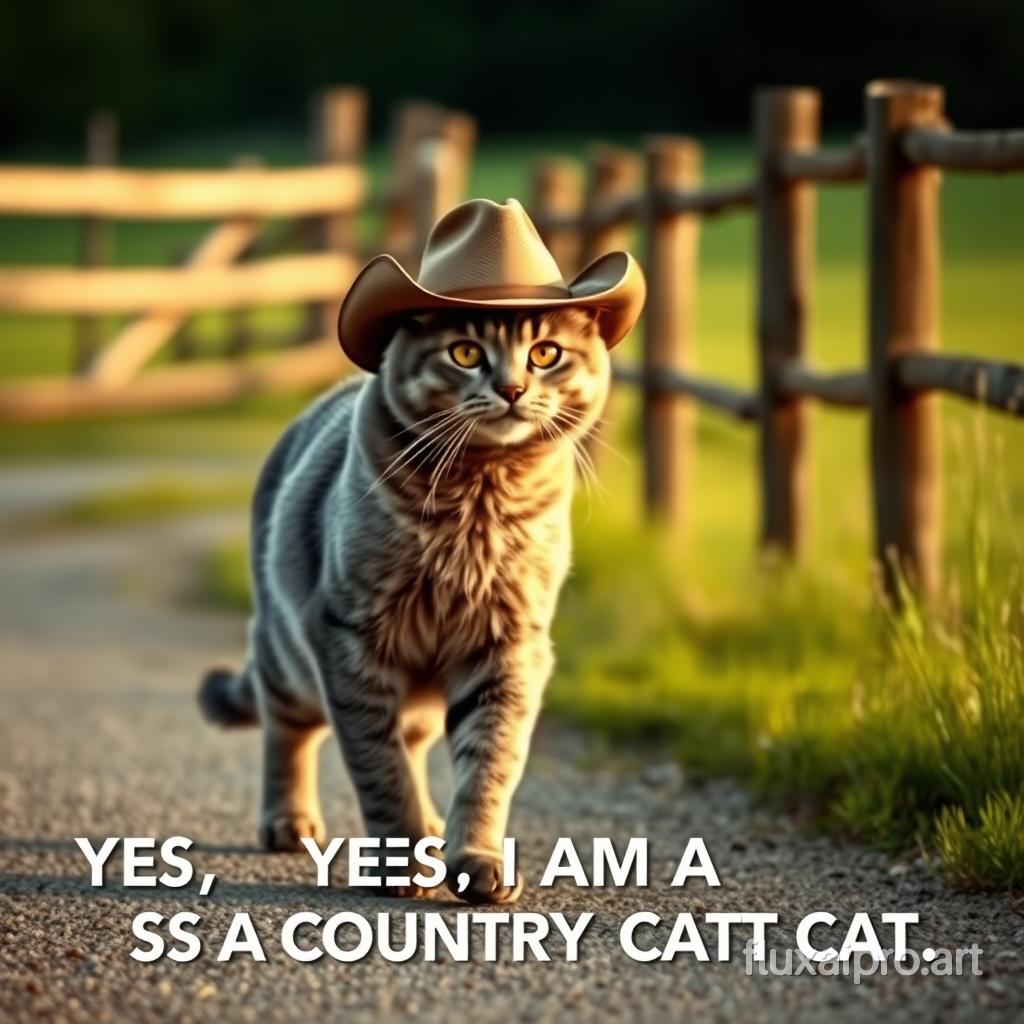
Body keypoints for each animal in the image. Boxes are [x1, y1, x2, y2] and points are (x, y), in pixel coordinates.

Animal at [200, 199, 643, 905]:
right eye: (465, 352)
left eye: (545, 353)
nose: (513, 388)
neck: (480, 500)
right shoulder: (351, 638)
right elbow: (377, 766)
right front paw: (400, 861)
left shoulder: (509, 647)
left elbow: (488, 766)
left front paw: (474, 856)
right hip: (289, 655)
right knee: (286, 730)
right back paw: (289, 818)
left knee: (411, 743)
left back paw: (433, 826)